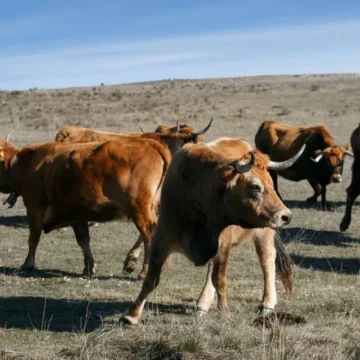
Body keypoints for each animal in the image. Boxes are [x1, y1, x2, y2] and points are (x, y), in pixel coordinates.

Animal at [0, 121, 211, 278]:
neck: (27, 162)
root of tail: (152, 145)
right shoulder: (77, 215)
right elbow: (83, 241)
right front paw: (89, 267)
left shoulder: (34, 206)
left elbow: (33, 237)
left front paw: (27, 264)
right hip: (148, 207)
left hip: (140, 208)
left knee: (148, 234)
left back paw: (143, 271)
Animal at [120, 137, 304, 324]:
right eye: (254, 186)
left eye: (270, 182)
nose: (286, 216)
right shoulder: (162, 240)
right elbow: (151, 279)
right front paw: (131, 315)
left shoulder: (223, 244)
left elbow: (219, 279)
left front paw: (224, 313)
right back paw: (203, 304)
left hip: (264, 232)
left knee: (266, 261)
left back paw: (267, 304)